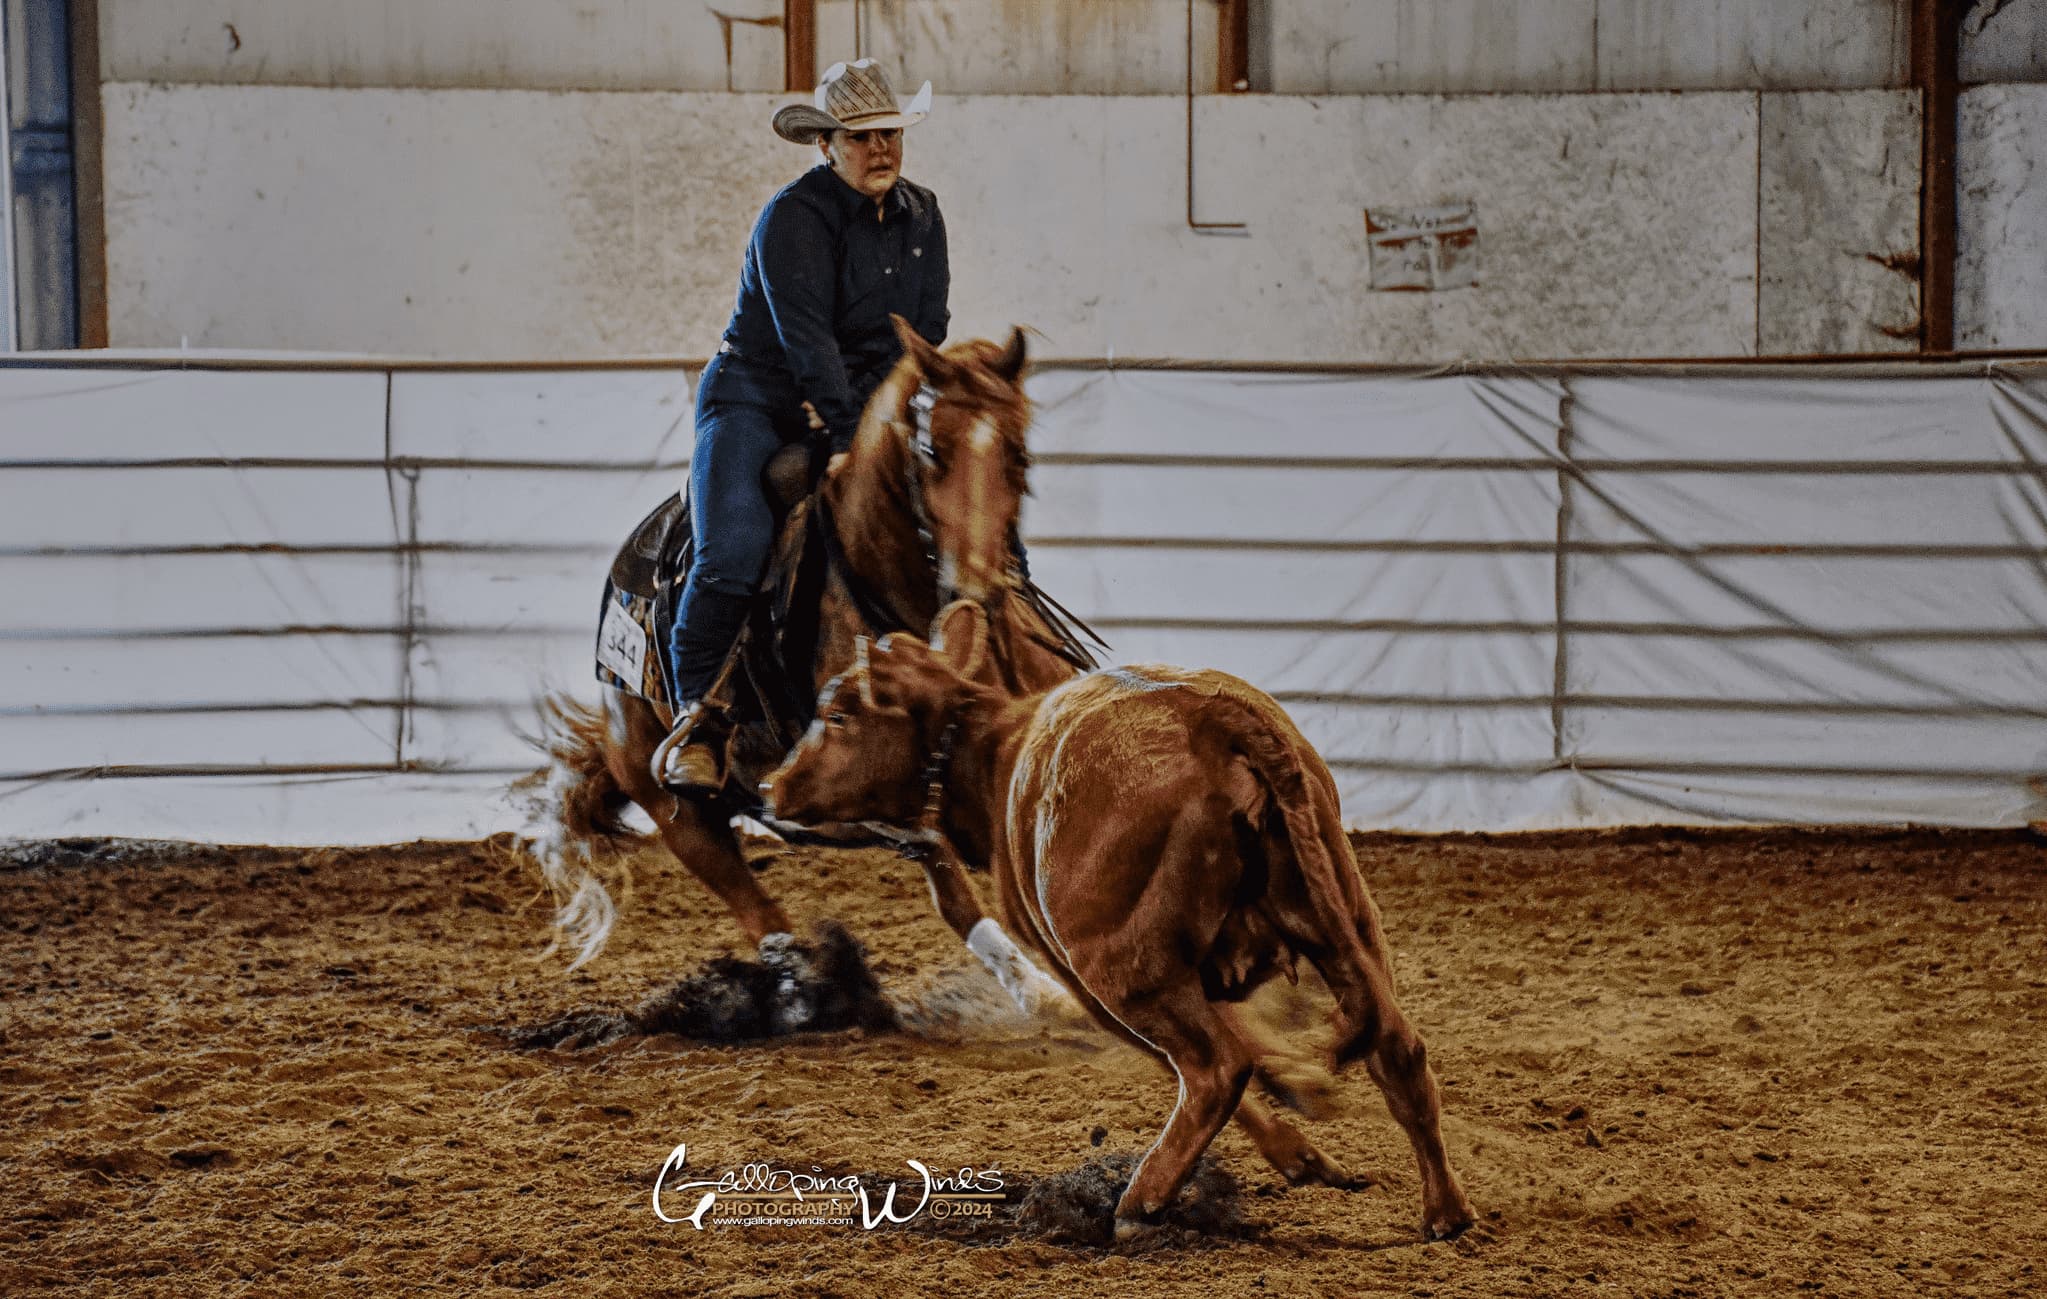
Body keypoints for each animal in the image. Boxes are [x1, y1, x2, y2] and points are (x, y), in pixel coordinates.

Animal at [524, 321, 1089, 1010]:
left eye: (1019, 455)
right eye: (931, 452)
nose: (978, 593)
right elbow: (952, 879)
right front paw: (1045, 989)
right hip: (675, 808)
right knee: (759, 909)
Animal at [765, 605, 1473, 1243]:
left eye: (838, 715)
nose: (772, 786)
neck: (992, 756)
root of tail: (1215, 715)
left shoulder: (1083, 983)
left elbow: (1206, 1064)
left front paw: (1299, 1149)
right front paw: (1308, 1129)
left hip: (1123, 969)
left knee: (1215, 1069)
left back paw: (1139, 1203)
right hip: (1342, 917)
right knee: (1397, 1048)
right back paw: (1445, 1212)